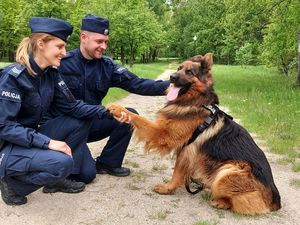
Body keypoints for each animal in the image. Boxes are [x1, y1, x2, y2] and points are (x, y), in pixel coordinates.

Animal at [108, 53, 282, 215]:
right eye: (179, 68)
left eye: (190, 72)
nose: (171, 77)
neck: (195, 101)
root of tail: (275, 200)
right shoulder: (184, 149)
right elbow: (179, 171)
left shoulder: (165, 136)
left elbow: (140, 119)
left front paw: (118, 108)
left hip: (227, 171)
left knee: (241, 202)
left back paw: (220, 201)